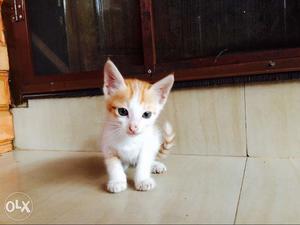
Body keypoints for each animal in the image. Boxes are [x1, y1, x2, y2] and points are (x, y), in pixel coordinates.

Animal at [101, 60, 176, 193]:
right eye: (122, 111)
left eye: (146, 114)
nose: (133, 127)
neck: (129, 140)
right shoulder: (108, 147)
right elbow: (114, 165)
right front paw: (117, 181)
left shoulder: (148, 145)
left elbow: (144, 163)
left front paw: (143, 180)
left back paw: (155, 165)